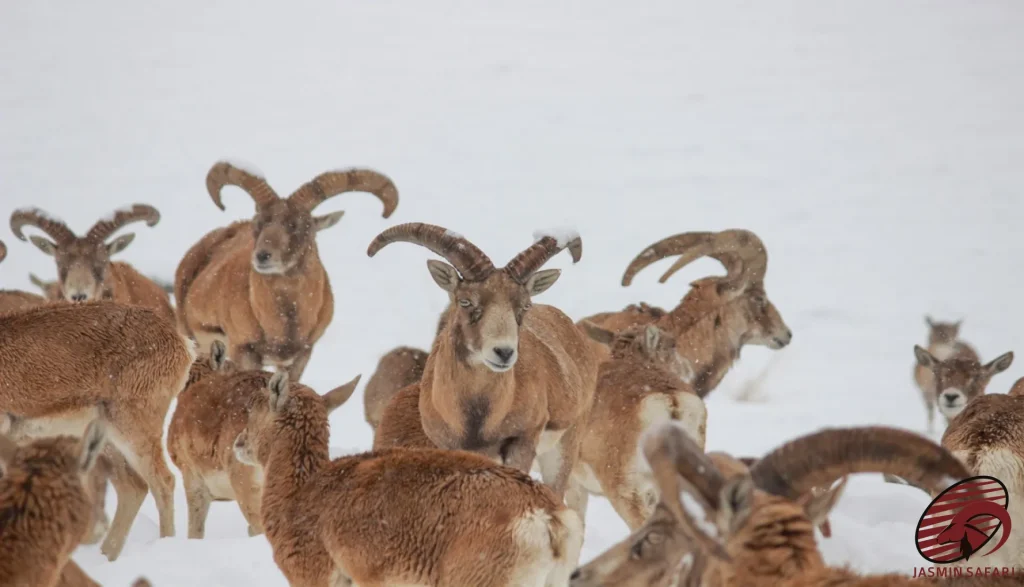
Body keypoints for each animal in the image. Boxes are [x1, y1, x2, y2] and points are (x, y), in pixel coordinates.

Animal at [0, 300, 196, 561]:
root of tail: (184, 345)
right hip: (107, 440)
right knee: (133, 487)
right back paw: (107, 557)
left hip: (134, 428)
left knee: (163, 482)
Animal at [175, 161, 399, 380]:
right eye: (258, 223)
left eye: (298, 225)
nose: (262, 256)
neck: (286, 322)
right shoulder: (244, 351)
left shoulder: (301, 355)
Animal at [367, 222, 598, 522]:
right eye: (465, 302)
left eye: (523, 305)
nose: (504, 352)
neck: (477, 418)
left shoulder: (520, 445)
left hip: (562, 452)